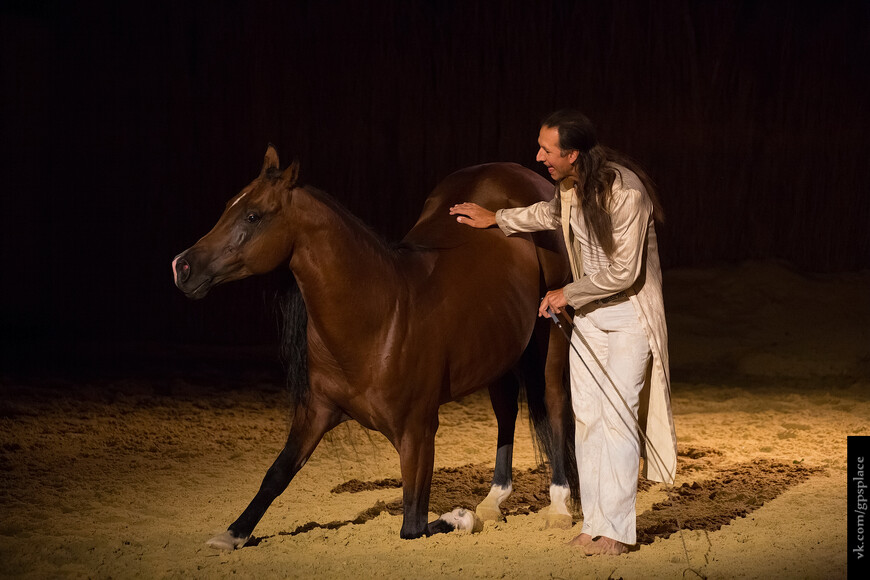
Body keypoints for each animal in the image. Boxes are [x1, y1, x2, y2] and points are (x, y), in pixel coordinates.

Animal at [170, 146, 580, 548]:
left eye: (253, 215)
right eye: (228, 206)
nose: (182, 267)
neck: (381, 317)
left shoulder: (418, 432)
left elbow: (413, 524)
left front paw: (462, 517)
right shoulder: (315, 412)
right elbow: (278, 472)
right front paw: (233, 533)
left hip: (553, 327)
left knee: (556, 403)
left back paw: (558, 507)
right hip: (499, 350)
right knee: (506, 410)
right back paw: (494, 500)